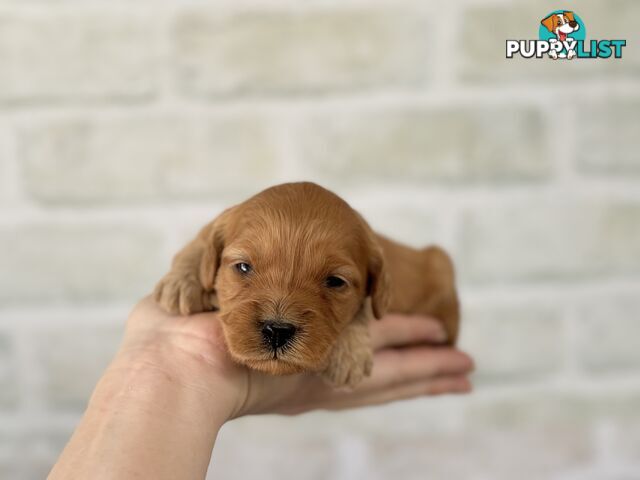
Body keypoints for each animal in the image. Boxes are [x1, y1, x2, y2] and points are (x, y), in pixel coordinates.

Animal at [155, 182, 460, 388]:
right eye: (243, 267)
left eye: (335, 282)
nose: (277, 331)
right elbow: (203, 237)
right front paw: (182, 280)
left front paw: (348, 355)